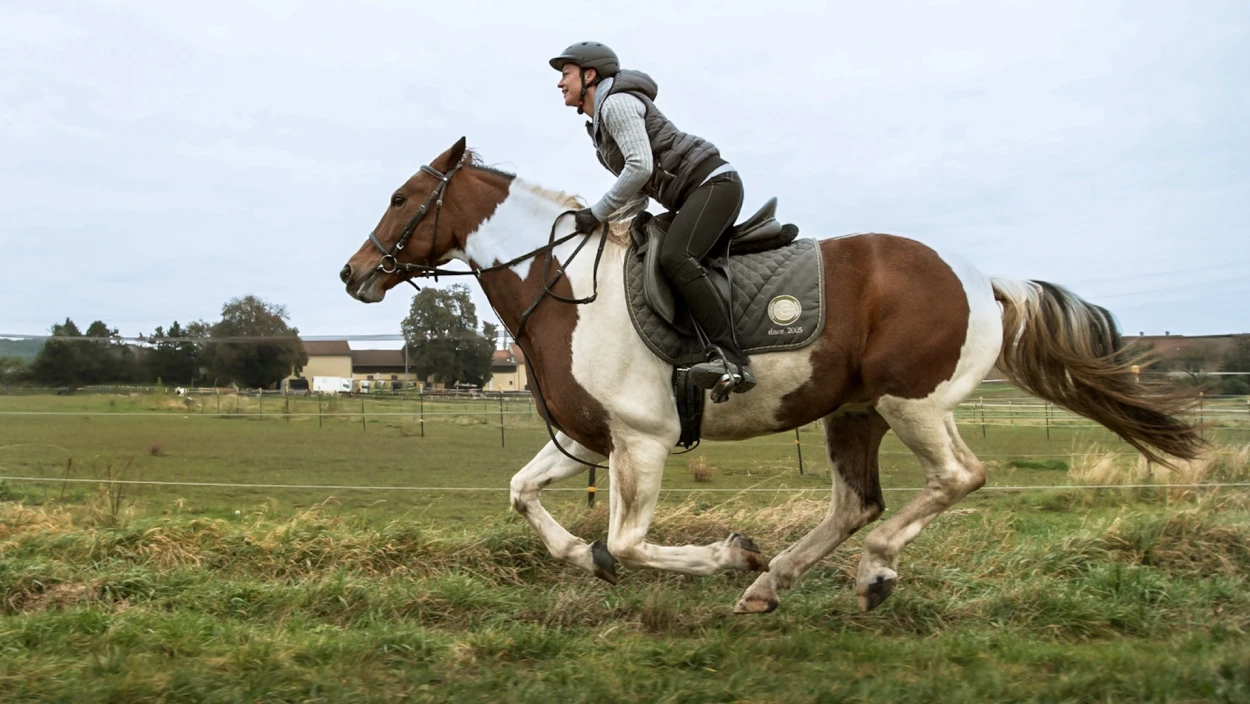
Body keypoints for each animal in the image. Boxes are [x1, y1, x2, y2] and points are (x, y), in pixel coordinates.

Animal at [337, 136, 1205, 612]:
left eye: (403, 197)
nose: (353, 274)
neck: (569, 287)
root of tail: (983, 278)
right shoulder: (588, 439)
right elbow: (526, 498)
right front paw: (589, 562)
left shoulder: (642, 442)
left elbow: (632, 541)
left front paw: (730, 554)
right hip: (852, 411)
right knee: (856, 503)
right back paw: (773, 585)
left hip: (912, 403)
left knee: (956, 478)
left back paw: (868, 573)